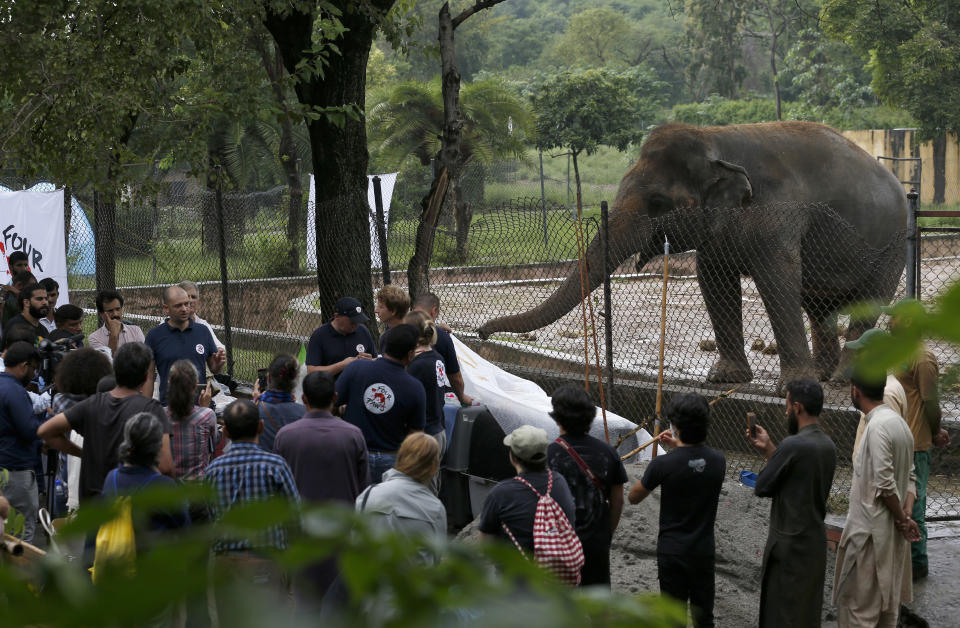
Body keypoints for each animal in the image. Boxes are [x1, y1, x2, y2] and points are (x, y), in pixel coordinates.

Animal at [480, 121, 908, 388]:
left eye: (656, 202)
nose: (482, 333)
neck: (716, 140)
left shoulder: (780, 216)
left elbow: (776, 278)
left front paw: (790, 387)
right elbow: (712, 278)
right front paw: (724, 379)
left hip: (893, 245)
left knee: (870, 300)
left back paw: (842, 379)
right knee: (819, 306)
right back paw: (823, 376)